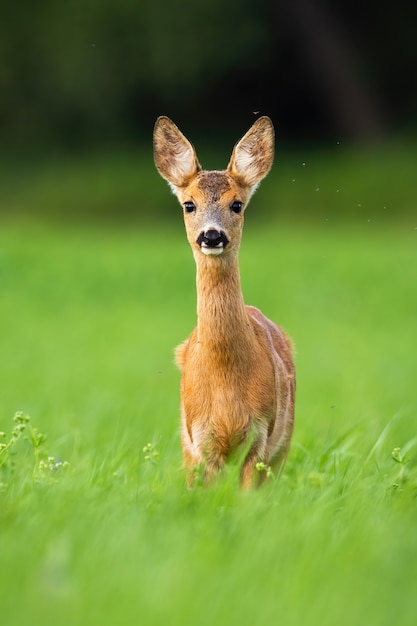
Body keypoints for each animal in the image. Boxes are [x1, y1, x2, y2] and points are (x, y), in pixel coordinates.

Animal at [154, 116, 296, 488]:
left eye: (237, 204)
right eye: (189, 204)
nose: (212, 235)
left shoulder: (260, 436)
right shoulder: (201, 441)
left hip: (283, 444)